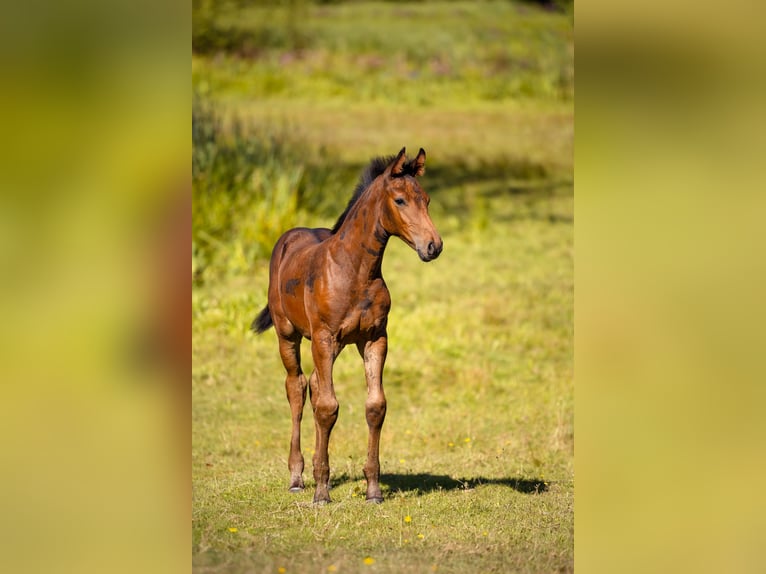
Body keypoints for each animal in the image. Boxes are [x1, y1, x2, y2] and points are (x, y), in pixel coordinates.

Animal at [254, 147, 444, 504]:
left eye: (426, 199)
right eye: (399, 200)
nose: (433, 246)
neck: (355, 270)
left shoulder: (374, 338)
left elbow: (375, 406)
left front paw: (373, 490)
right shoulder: (324, 337)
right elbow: (328, 407)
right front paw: (321, 493)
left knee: (315, 385)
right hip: (289, 335)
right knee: (297, 388)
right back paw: (298, 476)